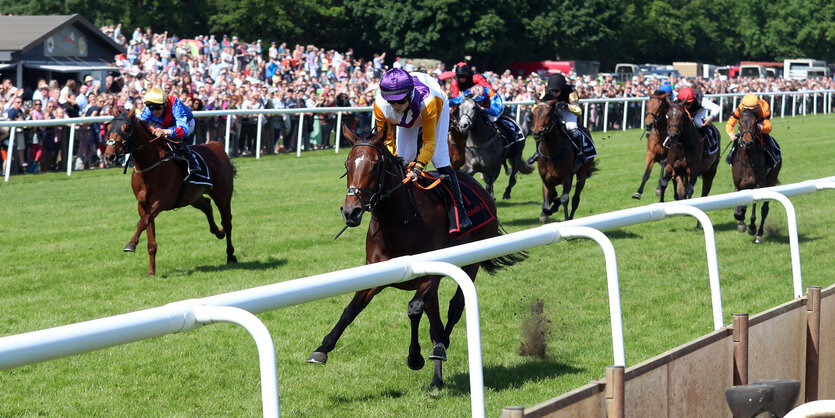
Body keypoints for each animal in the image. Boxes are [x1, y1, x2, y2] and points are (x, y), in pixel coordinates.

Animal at [104, 109, 237, 276]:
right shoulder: (143, 205)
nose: (109, 156)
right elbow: (148, 232)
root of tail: (217, 146)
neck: (150, 166)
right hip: (192, 197)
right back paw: (218, 232)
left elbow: (142, 223)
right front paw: (151, 272)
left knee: (227, 222)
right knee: (207, 205)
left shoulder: (160, 202)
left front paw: (131, 244)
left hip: (222, 195)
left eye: (126, 128)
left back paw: (230, 254)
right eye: (109, 127)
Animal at [306, 123, 528, 388]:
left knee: (454, 308)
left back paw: (441, 347)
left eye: (375, 166)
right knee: (435, 319)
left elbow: (413, 309)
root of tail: (478, 187)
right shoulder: (377, 272)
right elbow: (351, 309)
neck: (401, 219)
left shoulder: (430, 274)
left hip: (471, 263)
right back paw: (437, 376)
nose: (351, 212)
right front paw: (322, 348)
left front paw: (415, 357)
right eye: (347, 165)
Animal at [732, 109, 784, 243]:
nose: (747, 142)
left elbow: (754, 211)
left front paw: (751, 228)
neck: (747, 159)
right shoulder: (738, 185)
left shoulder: (758, 186)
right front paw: (741, 221)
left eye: (755, 123)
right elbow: (739, 209)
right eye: (740, 122)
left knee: (764, 210)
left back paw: (759, 234)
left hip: (771, 181)